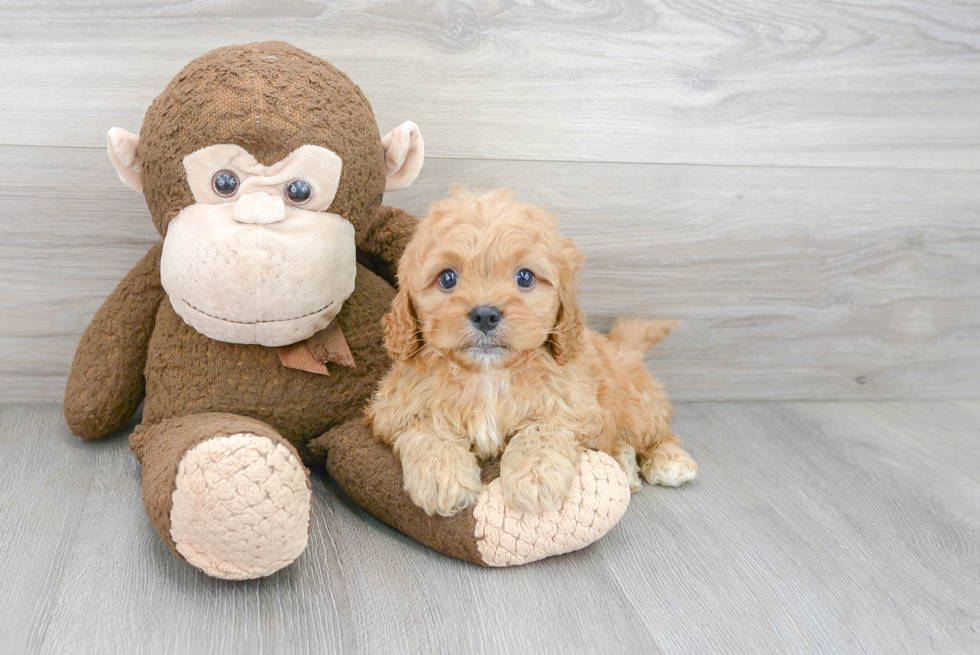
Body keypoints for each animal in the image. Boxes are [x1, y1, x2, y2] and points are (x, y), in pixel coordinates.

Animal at [368, 186, 696, 516]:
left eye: (525, 277)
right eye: (447, 278)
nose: (485, 314)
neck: (488, 375)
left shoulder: (572, 403)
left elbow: (542, 429)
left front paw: (535, 478)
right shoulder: (396, 408)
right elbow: (427, 429)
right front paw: (442, 477)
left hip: (635, 402)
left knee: (656, 431)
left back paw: (669, 460)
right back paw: (625, 465)